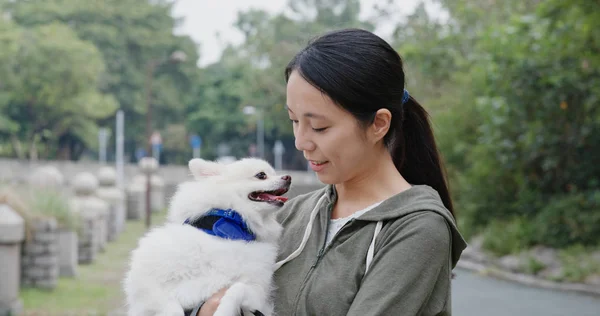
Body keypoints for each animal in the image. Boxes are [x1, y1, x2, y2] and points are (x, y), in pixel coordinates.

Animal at [123, 158, 292, 316]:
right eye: (261, 175)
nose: (288, 177)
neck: (230, 231)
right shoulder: (147, 287)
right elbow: (170, 305)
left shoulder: (257, 294)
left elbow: (238, 288)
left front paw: (224, 310)